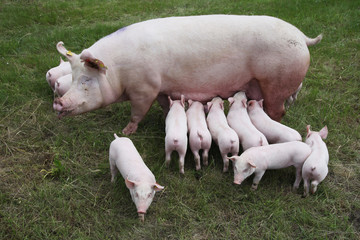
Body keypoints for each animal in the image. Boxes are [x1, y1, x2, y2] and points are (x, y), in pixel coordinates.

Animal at [52, 15, 322, 135]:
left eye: (87, 80)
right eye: (73, 78)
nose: (58, 102)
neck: (119, 71)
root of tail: (302, 37)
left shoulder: (144, 88)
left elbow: (137, 112)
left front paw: (127, 131)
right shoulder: (160, 88)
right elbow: (163, 104)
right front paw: (166, 117)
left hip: (276, 82)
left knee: (279, 111)